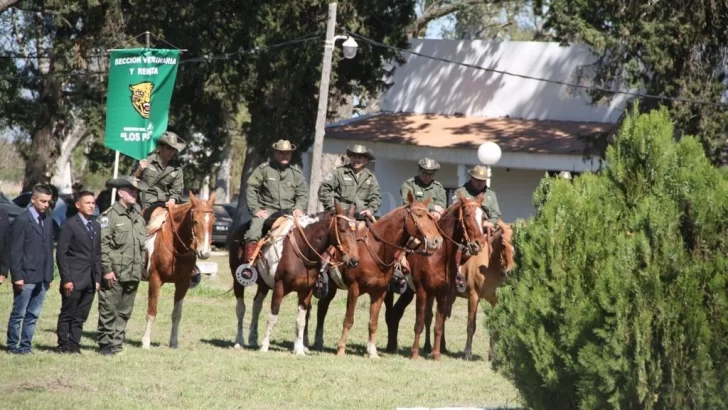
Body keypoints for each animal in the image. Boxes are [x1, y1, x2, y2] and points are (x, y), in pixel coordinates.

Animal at [141, 192, 216, 350]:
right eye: (195, 221)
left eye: (213, 221)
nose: (204, 253)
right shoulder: (155, 280)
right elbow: (152, 311)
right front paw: (146, 341)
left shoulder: (183, 283)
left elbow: (177, 314)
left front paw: (174, 342)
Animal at [229, 203, 360, 350]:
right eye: (342, 230)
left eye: (356, 230)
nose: (353, 260)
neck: (302, 249)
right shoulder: (279, 287)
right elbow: (272, 317)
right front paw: (265, 346)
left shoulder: (306, 290)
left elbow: (301, 320)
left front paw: (299, 349)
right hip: (237, 281)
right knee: (241, 308)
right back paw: (239, 341)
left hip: (263, 285)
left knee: (256, 306)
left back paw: (252, 339)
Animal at [314, 194, 444, 358]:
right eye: (419, 215)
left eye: (430, 216)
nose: (437, 241)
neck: (376, 250)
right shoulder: (354, 289)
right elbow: (349, 320)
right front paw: (341, 348)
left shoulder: (379, 292)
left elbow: (373, 322)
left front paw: (372, 351)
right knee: (321, 310)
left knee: (322, 308)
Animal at [382, 192, 490, 358]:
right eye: (467, 214)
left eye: (483, 216)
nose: (479, 244)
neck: (438, 256)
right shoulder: (422, 291)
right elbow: (419, 323)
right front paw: (414, 353)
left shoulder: (443, 293)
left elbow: (438, 324)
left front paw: (436, 354)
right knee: (390, 314)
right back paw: (389, 346)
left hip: (408, 292)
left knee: (397, 313)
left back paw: (393, 345)